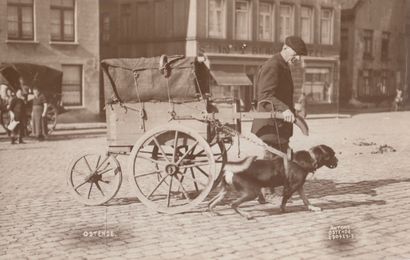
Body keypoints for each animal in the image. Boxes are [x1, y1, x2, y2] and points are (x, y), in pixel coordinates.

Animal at [207, 144, 338, 219]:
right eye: (332, 154)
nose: (338, 161)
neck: (310, 158)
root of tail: (229, 171)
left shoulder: (299, 186)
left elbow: (306, 200)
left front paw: (313, 208)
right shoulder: (291, 187)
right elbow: (285, 200)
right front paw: (282, 210)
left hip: (225, 192)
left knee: (211, 203)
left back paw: (212, 212)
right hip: (251, 193)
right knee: (233, 204)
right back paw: (246, 215)